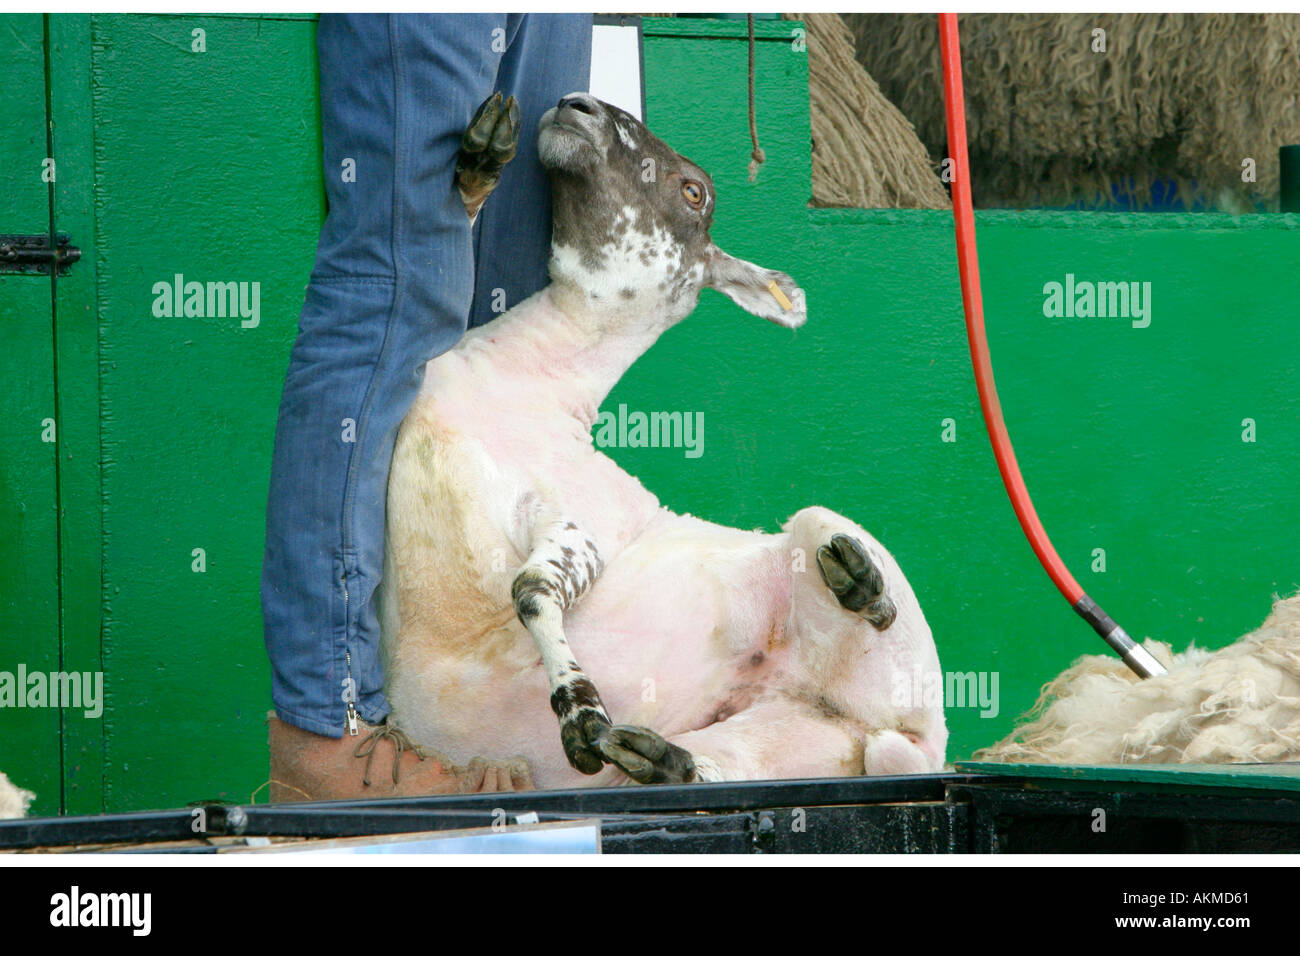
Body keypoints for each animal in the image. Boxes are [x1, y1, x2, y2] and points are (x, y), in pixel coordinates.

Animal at [376, 92, 947, 787]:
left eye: (694, 191)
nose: (575, 104)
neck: (522, 380)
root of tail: (919, 746)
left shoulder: (584, 516)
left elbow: (529, 590)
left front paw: (581, 712)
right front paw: (480, 158)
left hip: (859, 599)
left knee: (849, 571)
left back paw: (863, 588)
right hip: (806, 736)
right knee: (726, 769)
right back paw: (659, 758)